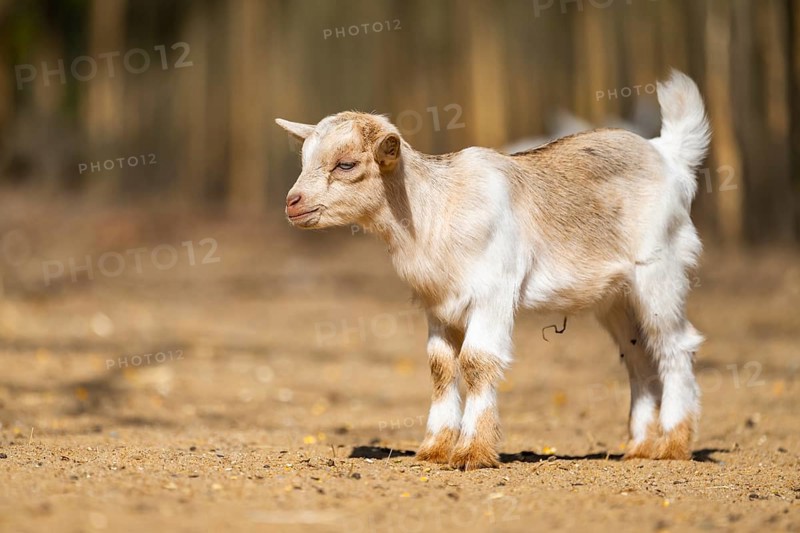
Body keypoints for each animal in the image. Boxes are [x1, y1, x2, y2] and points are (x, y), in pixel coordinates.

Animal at [277, 70, 710, 470]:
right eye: (304, 161)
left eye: (346, 164)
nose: (292, 202)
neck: (434, 209)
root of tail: (666, 154)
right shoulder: (438, 305)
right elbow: (440, 366)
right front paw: (434, 449)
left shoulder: (492, 294)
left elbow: (476, 361)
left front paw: (472, 451)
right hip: (616, 298)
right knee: (638, 356)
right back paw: (639, 448)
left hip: (659, 271)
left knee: (674, 346)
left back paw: (673, 446)